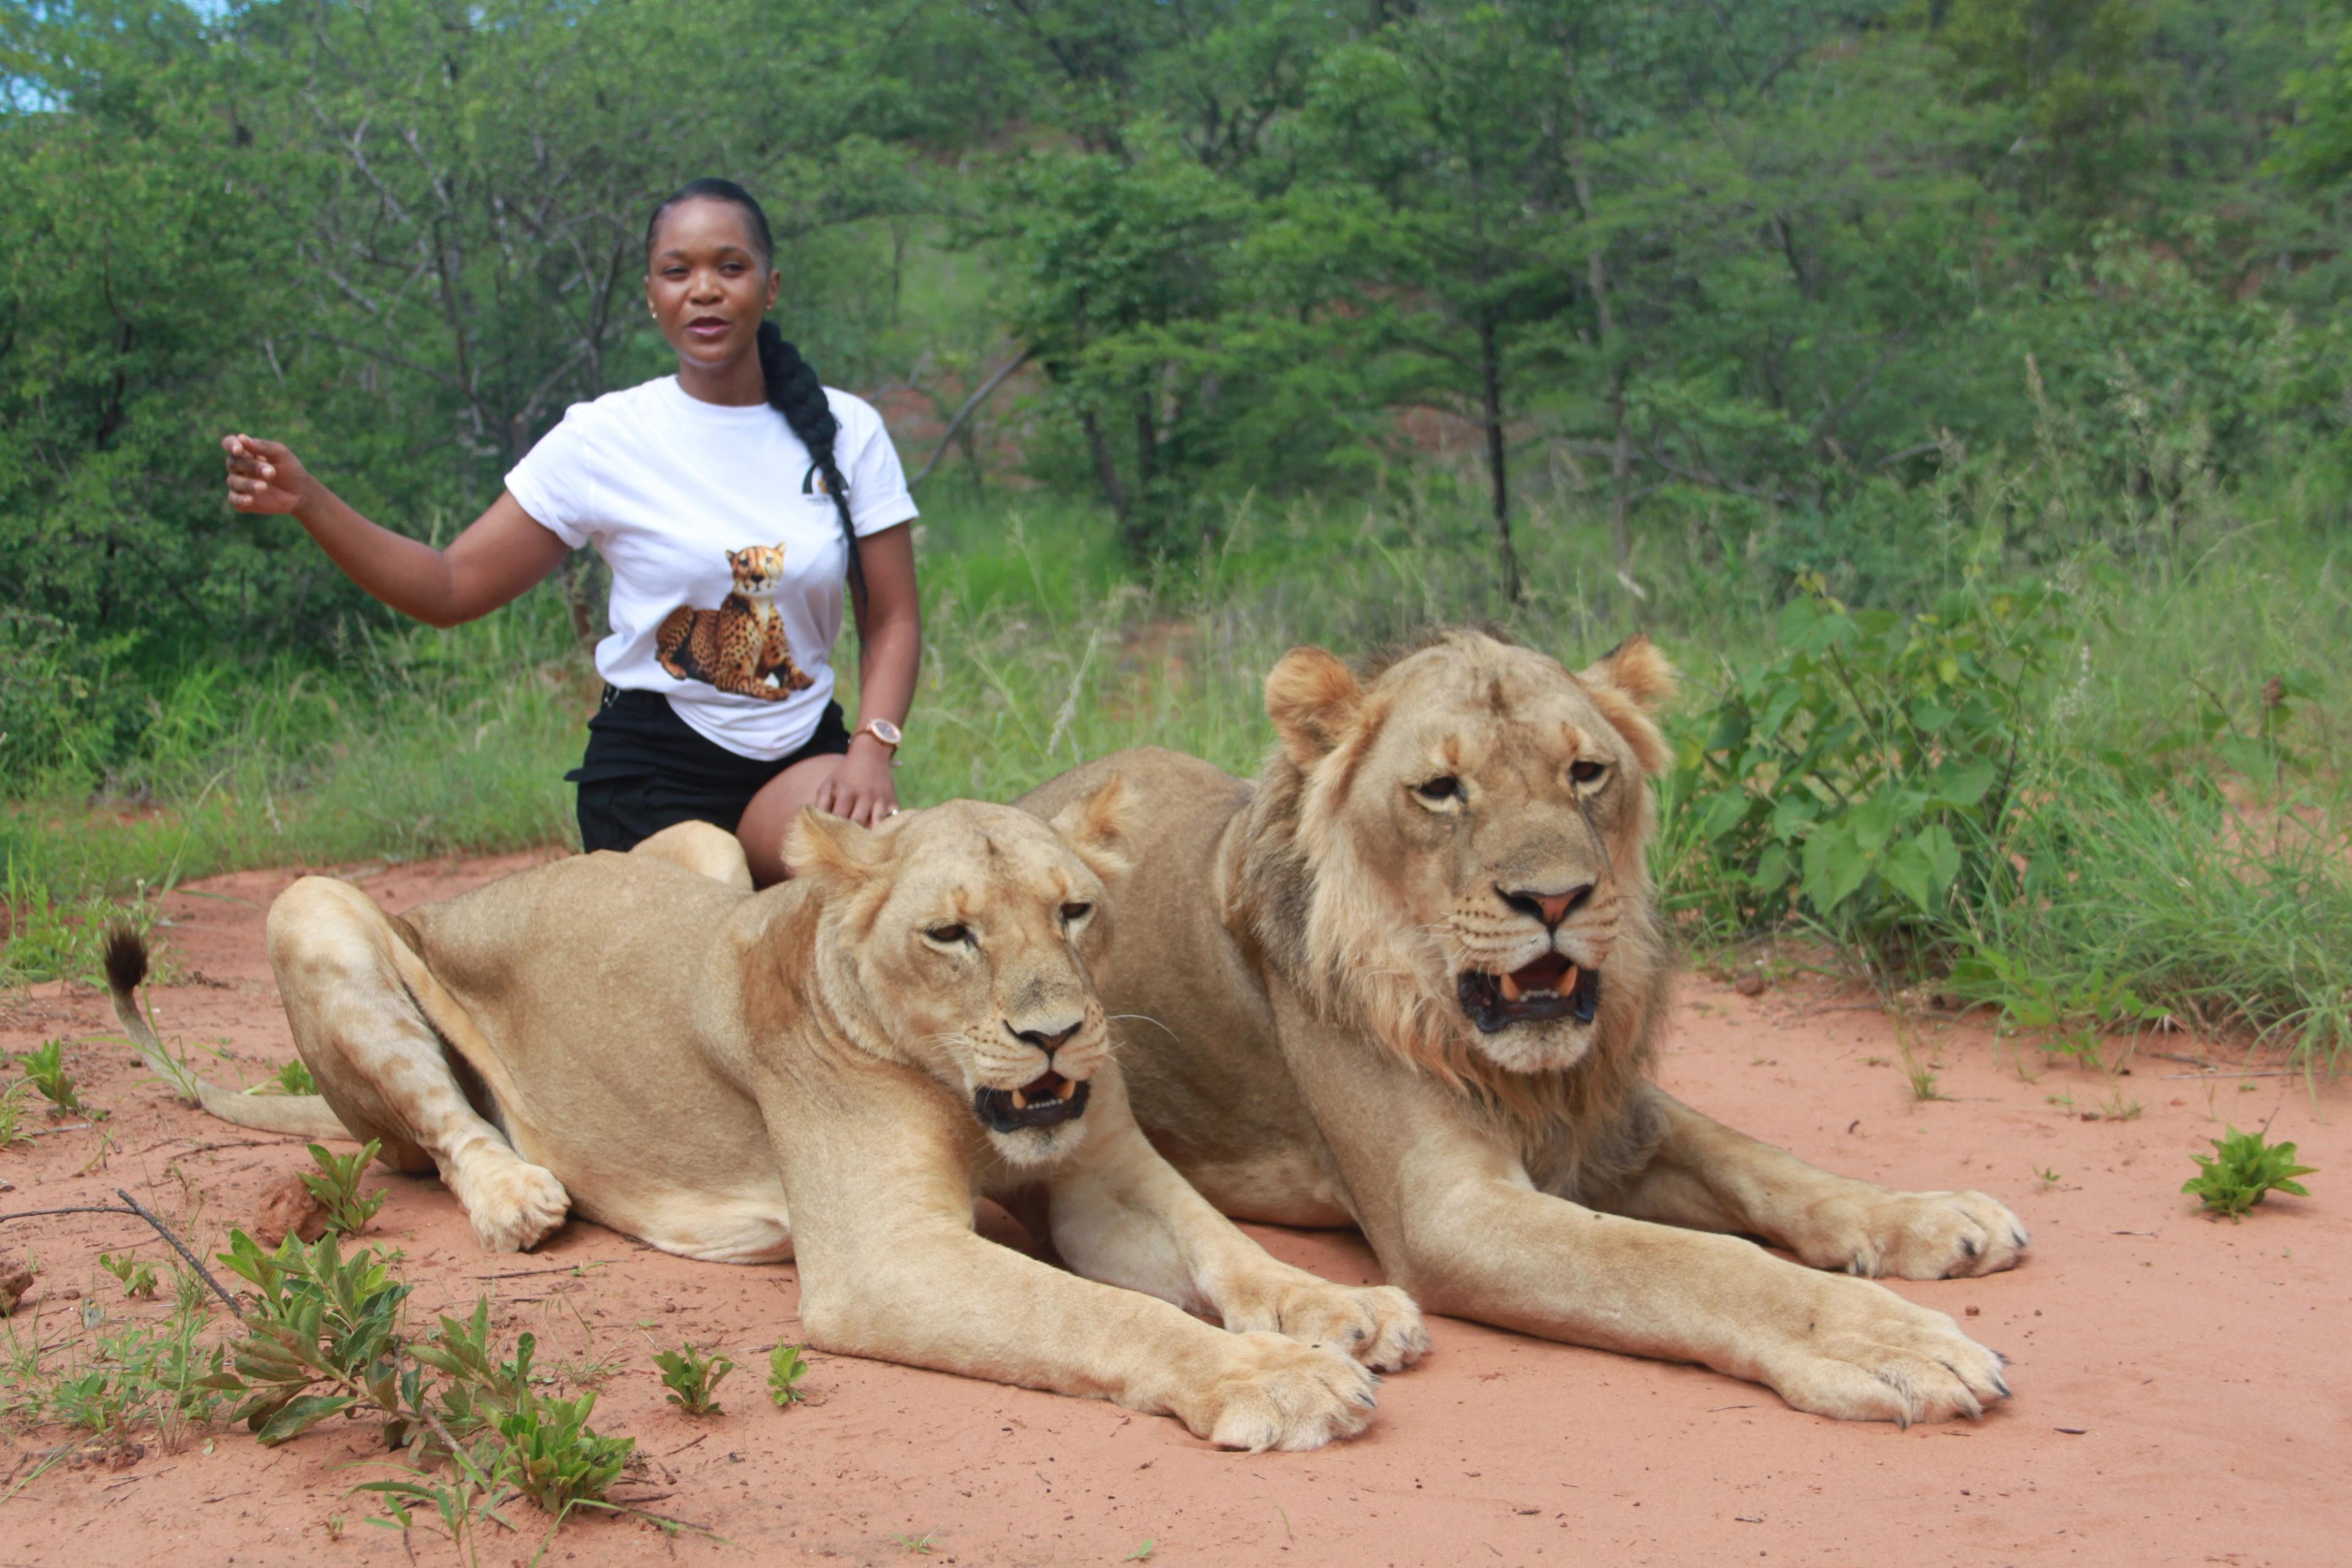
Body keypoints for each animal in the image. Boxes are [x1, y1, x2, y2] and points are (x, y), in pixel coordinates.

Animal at [106, 788, 1427, 1451]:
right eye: (951, 933)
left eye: (1075, 911)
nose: (1058, 1034)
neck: (956, 1088)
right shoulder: (884, 1257)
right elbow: (1104, 1313)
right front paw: (1281, 1380)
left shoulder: (1101, 1177)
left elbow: (1225, 1248)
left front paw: (1346, 1310)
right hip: (313, 906)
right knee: (442, 1125)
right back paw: (519, 1193)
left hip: (697, 847)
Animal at [1013, 629, 2028, 1425]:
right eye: (1440, 789)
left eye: (1587, 772)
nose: (1555, 899)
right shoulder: (1449, 1213)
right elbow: (1696, 1261)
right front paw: (1883, 1340)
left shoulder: (1611, 1117)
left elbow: (1766, 1164)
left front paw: (1935, 1216)